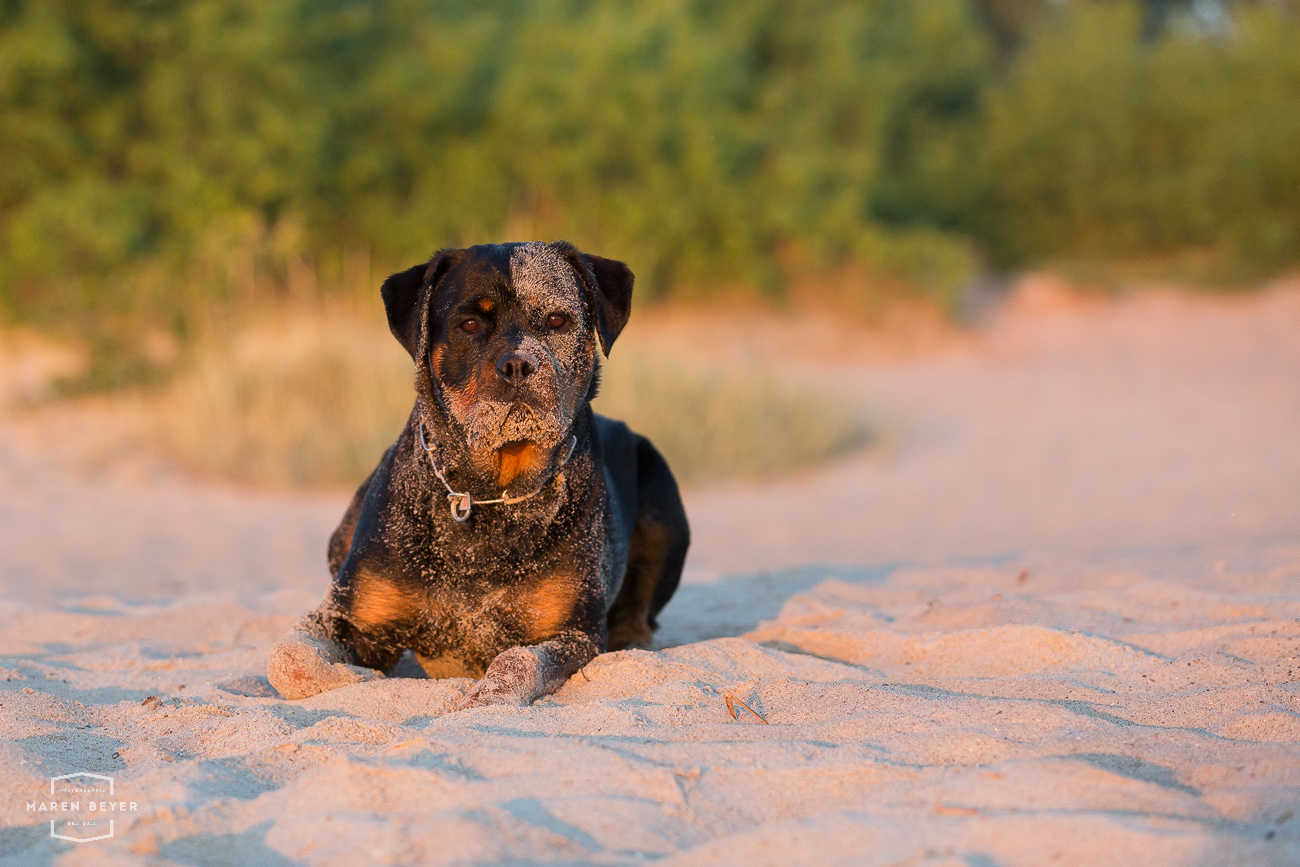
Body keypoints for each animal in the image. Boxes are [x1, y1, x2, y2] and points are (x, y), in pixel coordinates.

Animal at [265, 240, 691, 707]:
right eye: (469, 324)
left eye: (557, 320)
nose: (518, 364)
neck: (489, 492)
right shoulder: (353, 614)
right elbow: (289, 659)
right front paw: (359, 678)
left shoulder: (571, 631)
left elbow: (515, 662)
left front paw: (482, 697)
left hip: (664, 504)